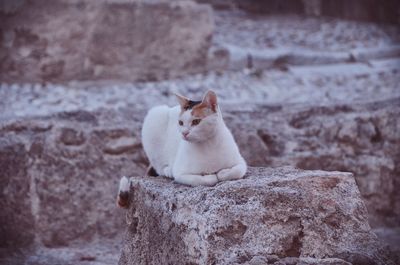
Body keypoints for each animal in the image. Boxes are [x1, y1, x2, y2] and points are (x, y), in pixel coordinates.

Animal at [116, 89, 247, 207]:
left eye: (196, 122)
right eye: (180, 123)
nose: (184, 133)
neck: (209, 144)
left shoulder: (241, 162)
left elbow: (237, 171)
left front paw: (223, 172)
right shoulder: (181, 173)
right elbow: (205, 179)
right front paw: (211, 175)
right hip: (155, 116)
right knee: (158, 166)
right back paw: (168, 170)